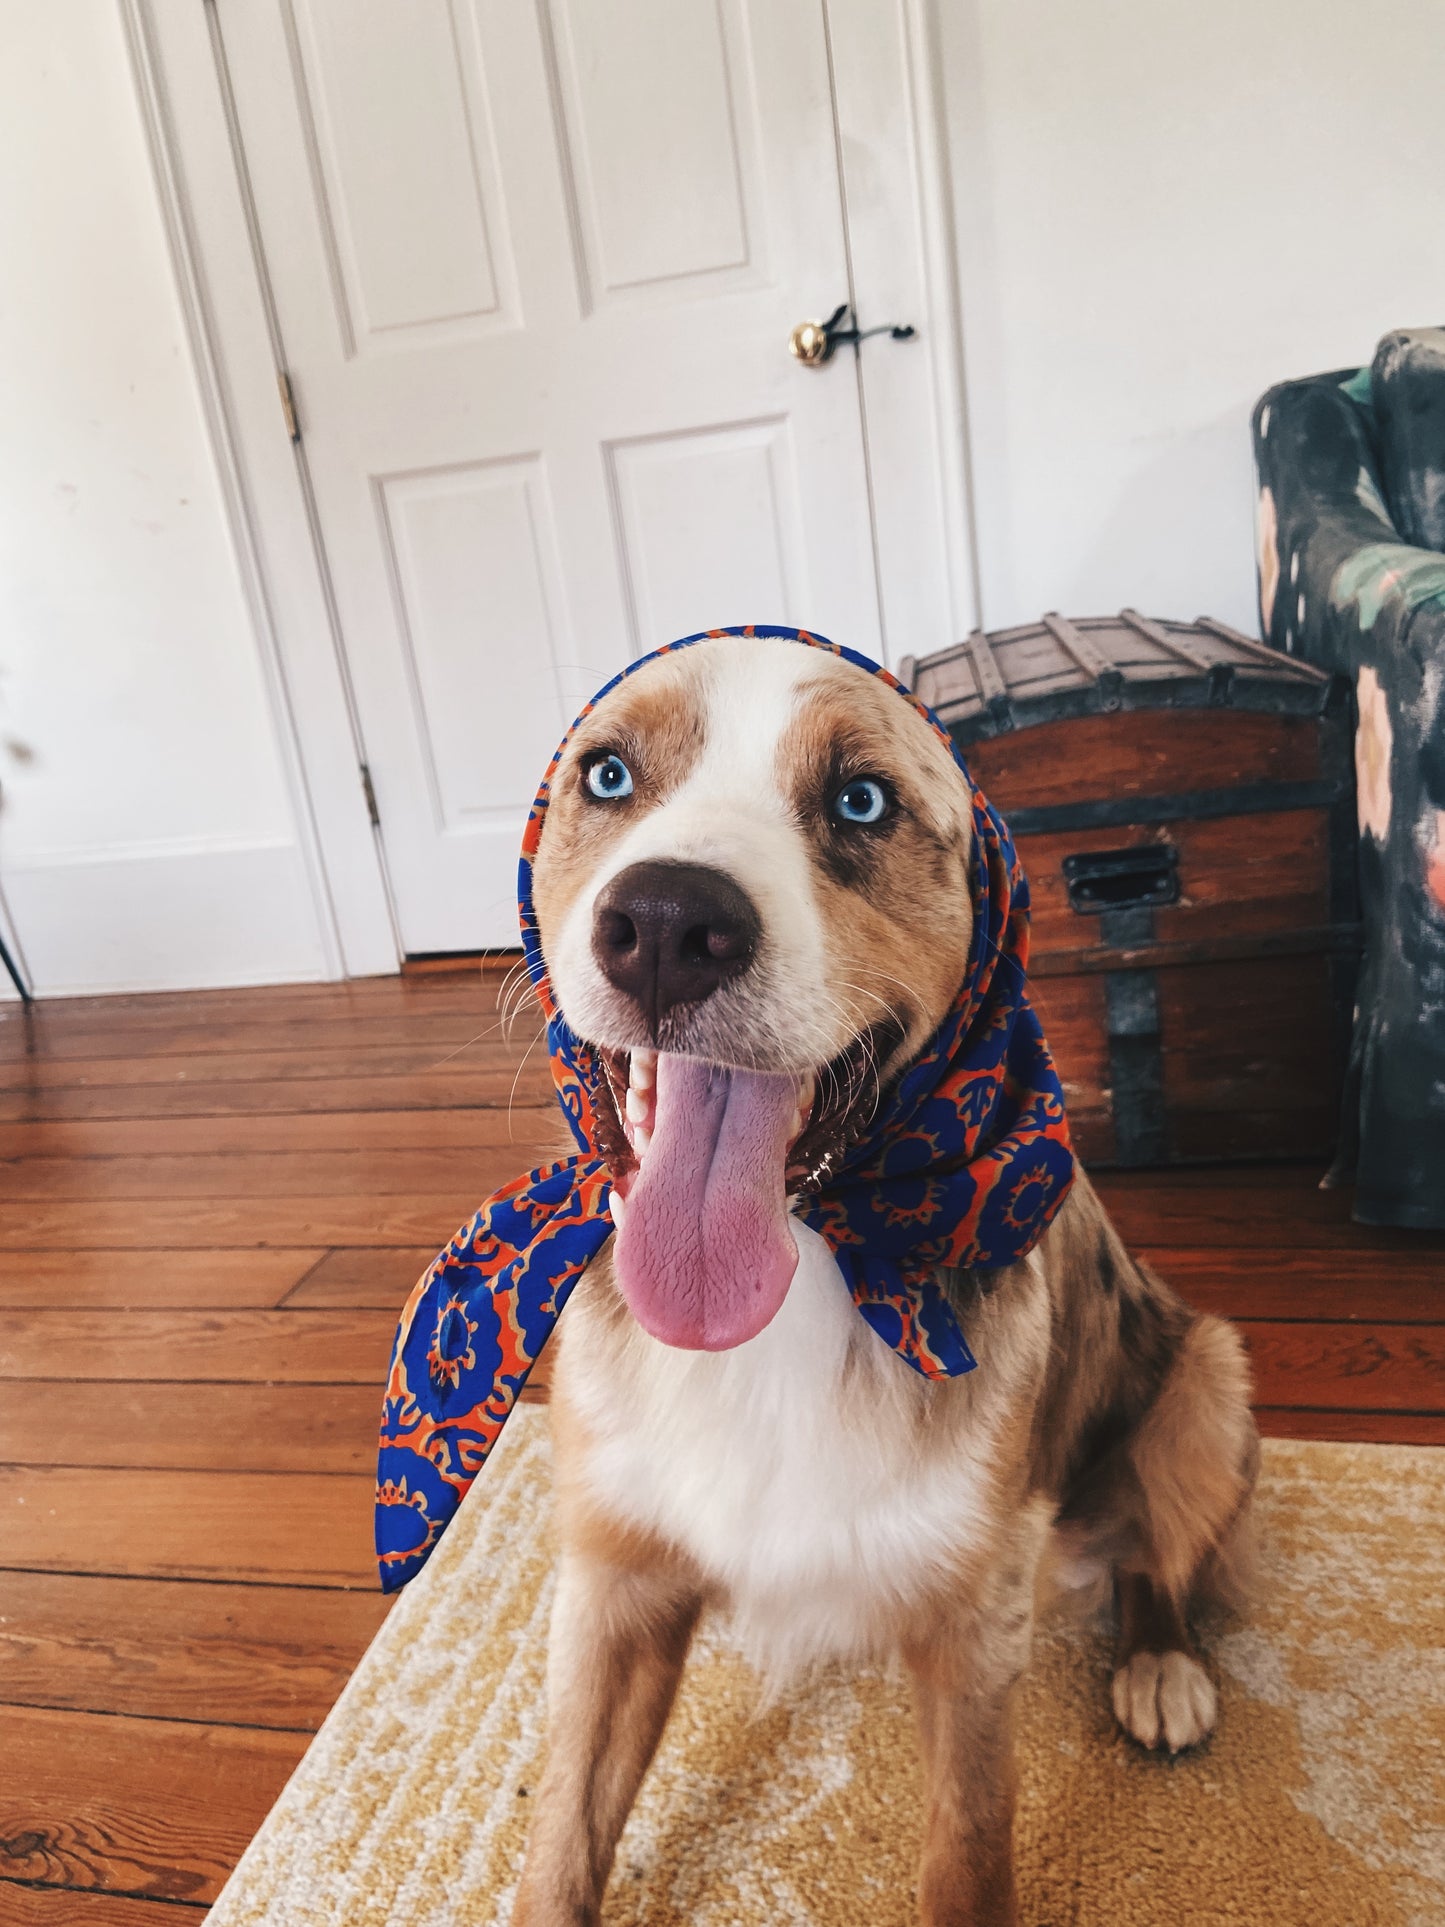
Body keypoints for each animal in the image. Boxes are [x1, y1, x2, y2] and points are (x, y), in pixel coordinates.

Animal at [393, 624, 1256, 1919]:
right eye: (607, 775)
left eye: (861, 800)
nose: (664, 925)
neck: (808, 1260)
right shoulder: (612, 1584)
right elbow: (561, 1840)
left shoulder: (969, 1623)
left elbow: (965, 1851)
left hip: (1206, 1378)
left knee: (1157, 1555)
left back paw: (1160, 1664)